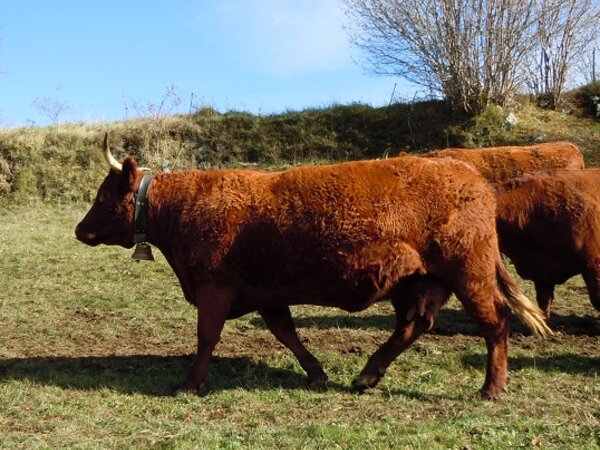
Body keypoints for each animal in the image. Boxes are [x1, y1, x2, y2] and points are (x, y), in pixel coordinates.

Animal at [75, 134, 548, 398]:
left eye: (102, 196)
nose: (80, 230)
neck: (184, 207)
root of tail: (465, 171)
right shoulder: (266, 293)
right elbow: (286, 333)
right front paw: (317, 374)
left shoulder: (214, 290)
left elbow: (206, 337)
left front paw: (190, 384)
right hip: (418, 281)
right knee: (413, 325)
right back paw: (367, 375)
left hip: (469, 273)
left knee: (495, 322)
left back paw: (492, 387)